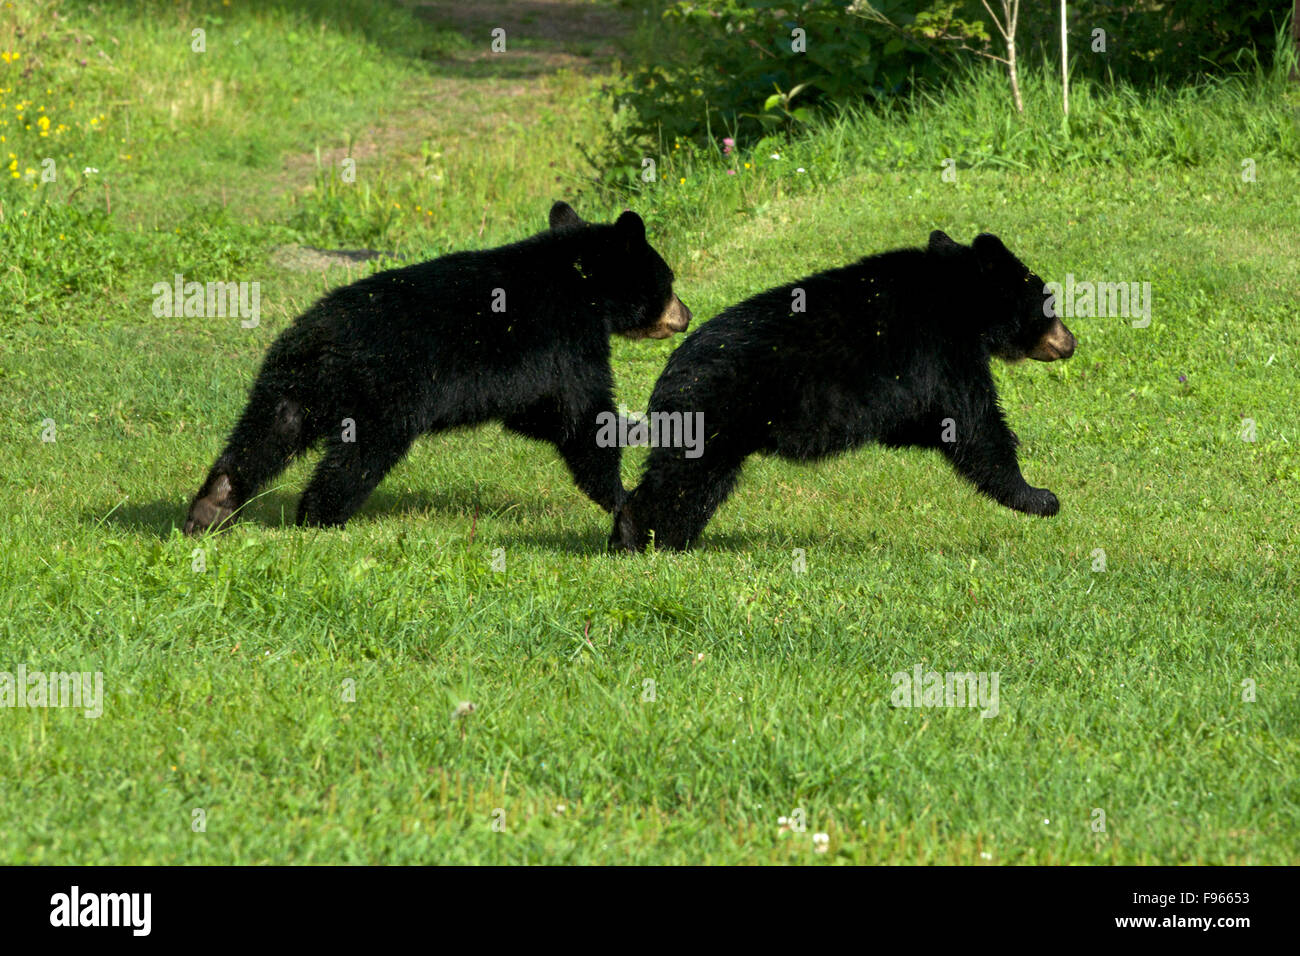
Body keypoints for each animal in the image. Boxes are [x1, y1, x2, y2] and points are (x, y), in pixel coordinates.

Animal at [185, 201, 691, 535]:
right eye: (669, 280)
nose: (685, 315)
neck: (583, 283)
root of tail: (320, 340)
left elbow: (537, 415)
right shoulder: (568, 342)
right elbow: (582, 417)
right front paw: (623, 490)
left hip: (286, 384)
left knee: (264, 435)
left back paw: (212, 506)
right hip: (381, 400)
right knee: (355, 460)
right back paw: (319, 517)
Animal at [608, 228, 1076, 554]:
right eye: (1049, 303)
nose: (1070, 341)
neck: (957, 298)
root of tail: (668, 376)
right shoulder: (943, 351)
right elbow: (973, 425)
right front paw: (1039, 497)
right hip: (713, 414)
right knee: (684, 479)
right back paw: (643, 537)